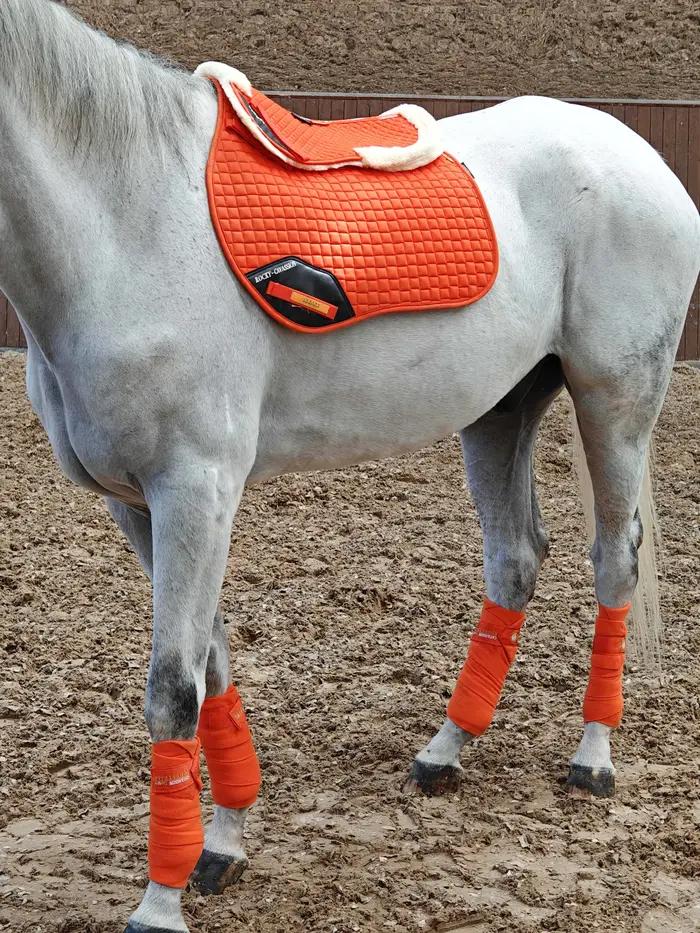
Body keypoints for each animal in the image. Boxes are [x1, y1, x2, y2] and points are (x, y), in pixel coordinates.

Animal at [1, 2, 698, 931]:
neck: (126, 224)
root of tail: (638, 151)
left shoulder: (195, 489)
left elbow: (173, 687)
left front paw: (159, 902)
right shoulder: (140, 503)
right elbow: (210, 660)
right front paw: (223, 845)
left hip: (615, 399)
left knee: (614, 559)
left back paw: (592, 757)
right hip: (500, 409)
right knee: (515, 560)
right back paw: (446, 749)